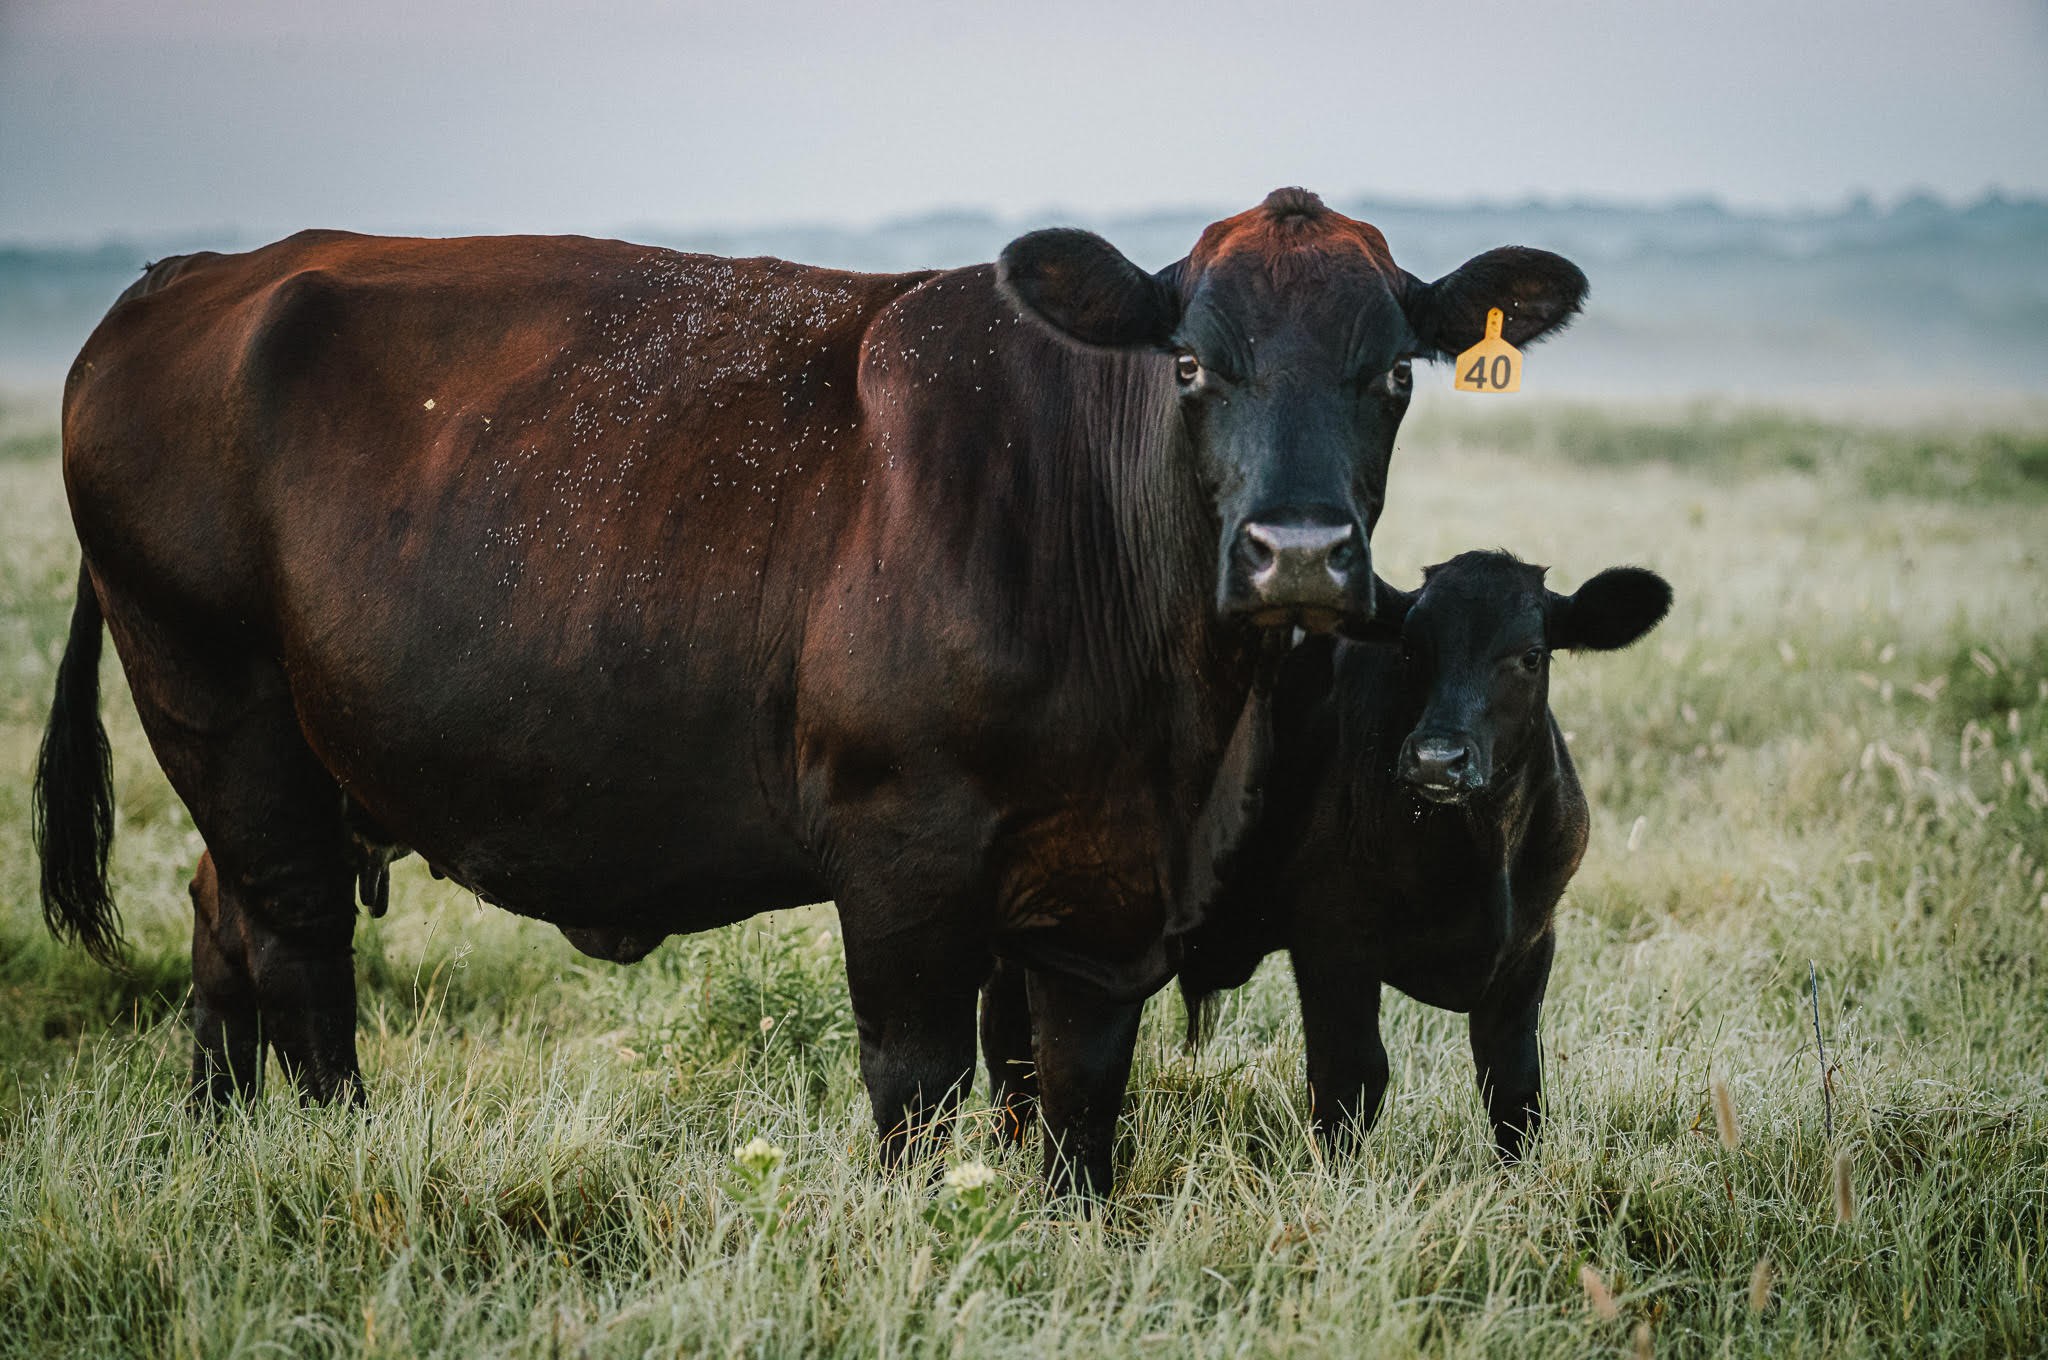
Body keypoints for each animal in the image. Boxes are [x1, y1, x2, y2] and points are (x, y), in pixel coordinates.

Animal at [35, 189, 1588, 1196]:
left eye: (1394, 372)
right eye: (1195, 362)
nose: (1300, 553)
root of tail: (199, 274)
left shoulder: (1097, 897)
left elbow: (1075, 1104)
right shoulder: (902, 856)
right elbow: (918, 1087)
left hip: (289, 758)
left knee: (223, 922)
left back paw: (217, 1141)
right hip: (219, 705)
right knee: (297, 946)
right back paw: (332, 1147)